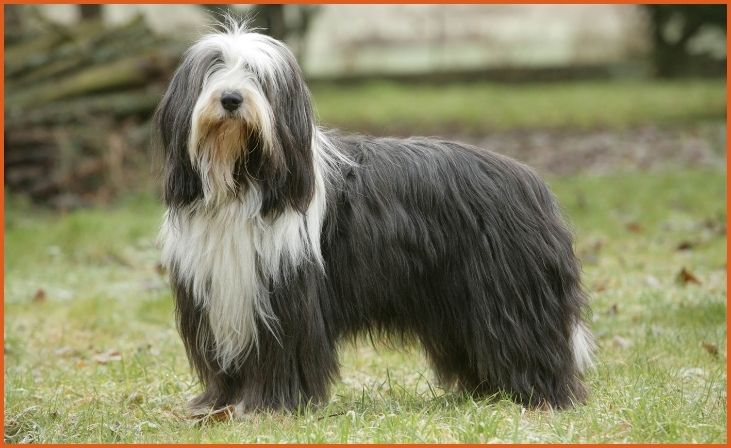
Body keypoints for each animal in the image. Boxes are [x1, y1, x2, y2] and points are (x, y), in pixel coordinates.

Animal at [154, 18, 596, 416]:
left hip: (510, 294)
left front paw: (268, 406)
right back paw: (488, 392)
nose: (231, 98)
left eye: (259, 77)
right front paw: (218, 405)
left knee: (530, 342)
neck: (241, 182)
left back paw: (542, 396)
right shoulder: (219, 294)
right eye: (213, 69)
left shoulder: (285, 296)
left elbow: (281, 355)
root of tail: (531, 181)